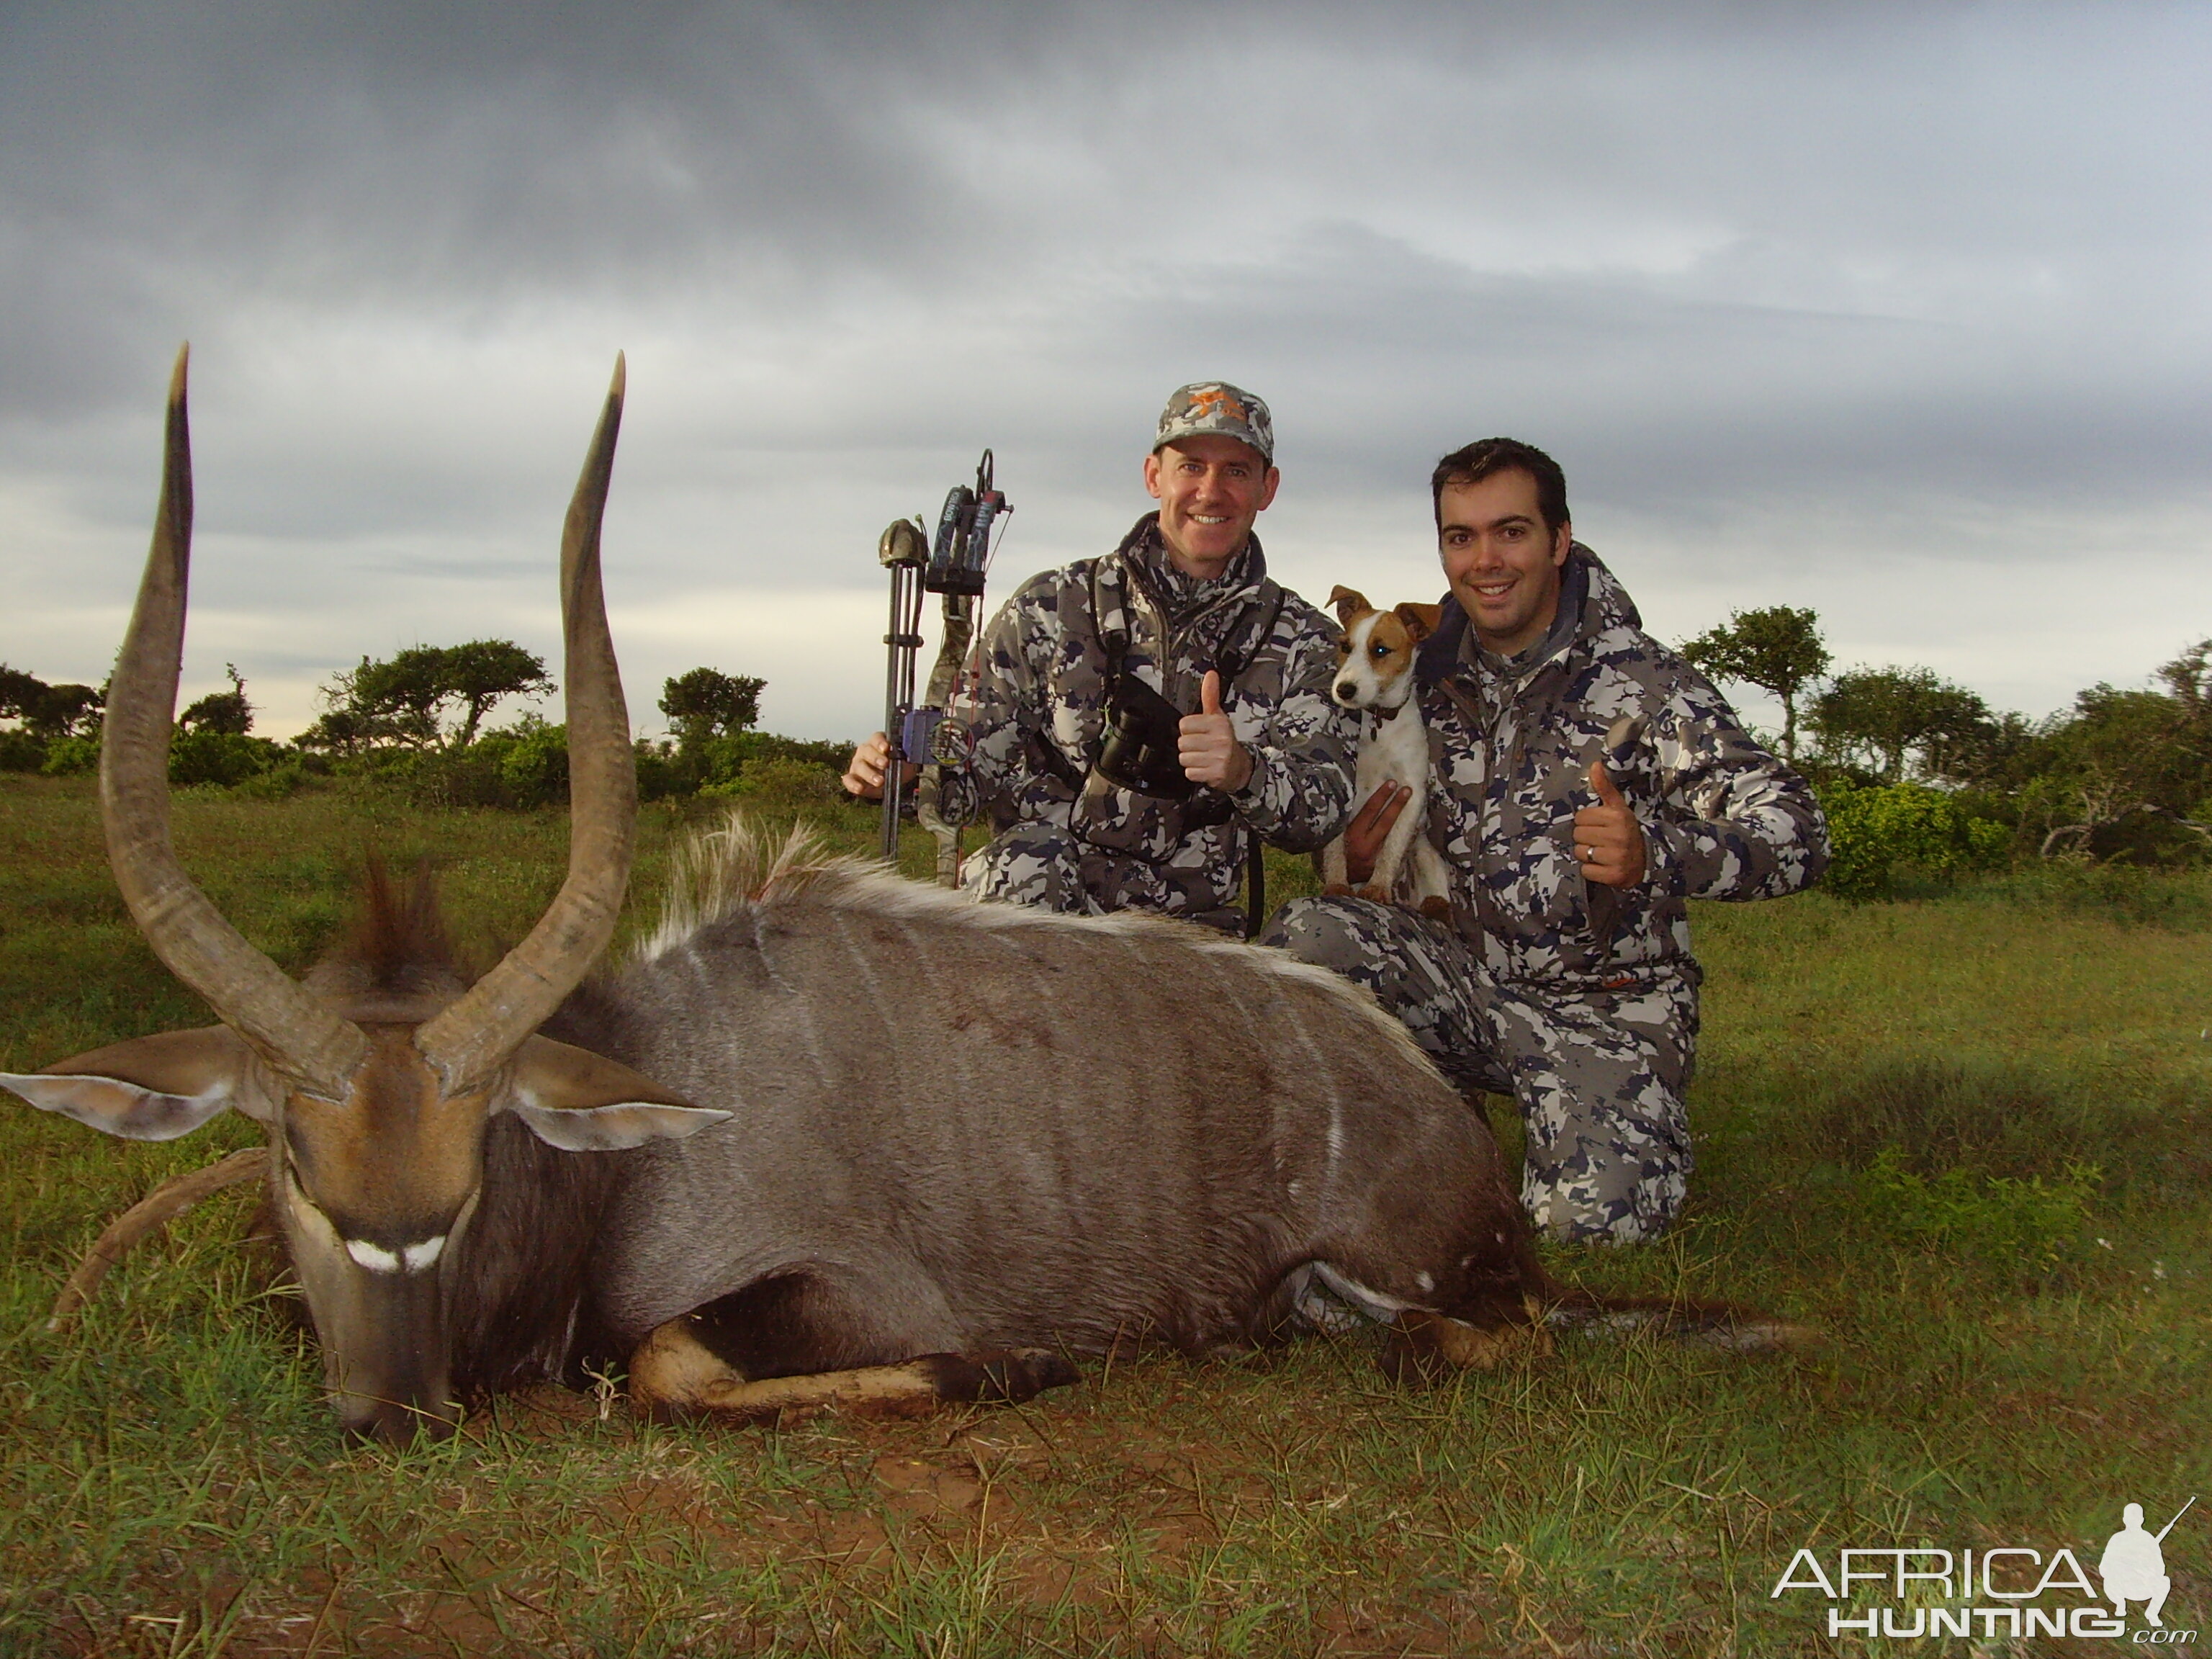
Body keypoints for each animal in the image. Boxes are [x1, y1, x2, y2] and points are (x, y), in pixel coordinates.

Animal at [1309, 593, 1451, 915]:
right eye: (1345, 647)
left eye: (1381, 650)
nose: (1344, 689)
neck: (1376, 721)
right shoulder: (1342, 786)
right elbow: (1336, 848)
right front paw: (1337, 884)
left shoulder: (1410, 793)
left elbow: (1390, 850)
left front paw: (1377, 888)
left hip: (1425, 853)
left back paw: (1434, 905)